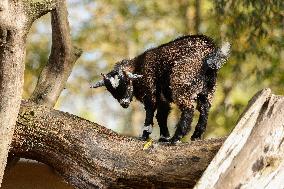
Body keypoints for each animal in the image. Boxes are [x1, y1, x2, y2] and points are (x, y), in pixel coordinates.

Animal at [92, 34, 230, 143]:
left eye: (126, 82)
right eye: (111, 90)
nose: (124, 103)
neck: (139, 67)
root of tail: (210, 49)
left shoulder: (150, 94)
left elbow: (150, 114)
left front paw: (144, 136)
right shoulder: (162, 98)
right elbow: (161, 116)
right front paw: (164, 137)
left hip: (181, 81)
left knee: (189, 108)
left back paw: (176, 138)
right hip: (208, 88)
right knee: (204, 108)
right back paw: (196, 135)